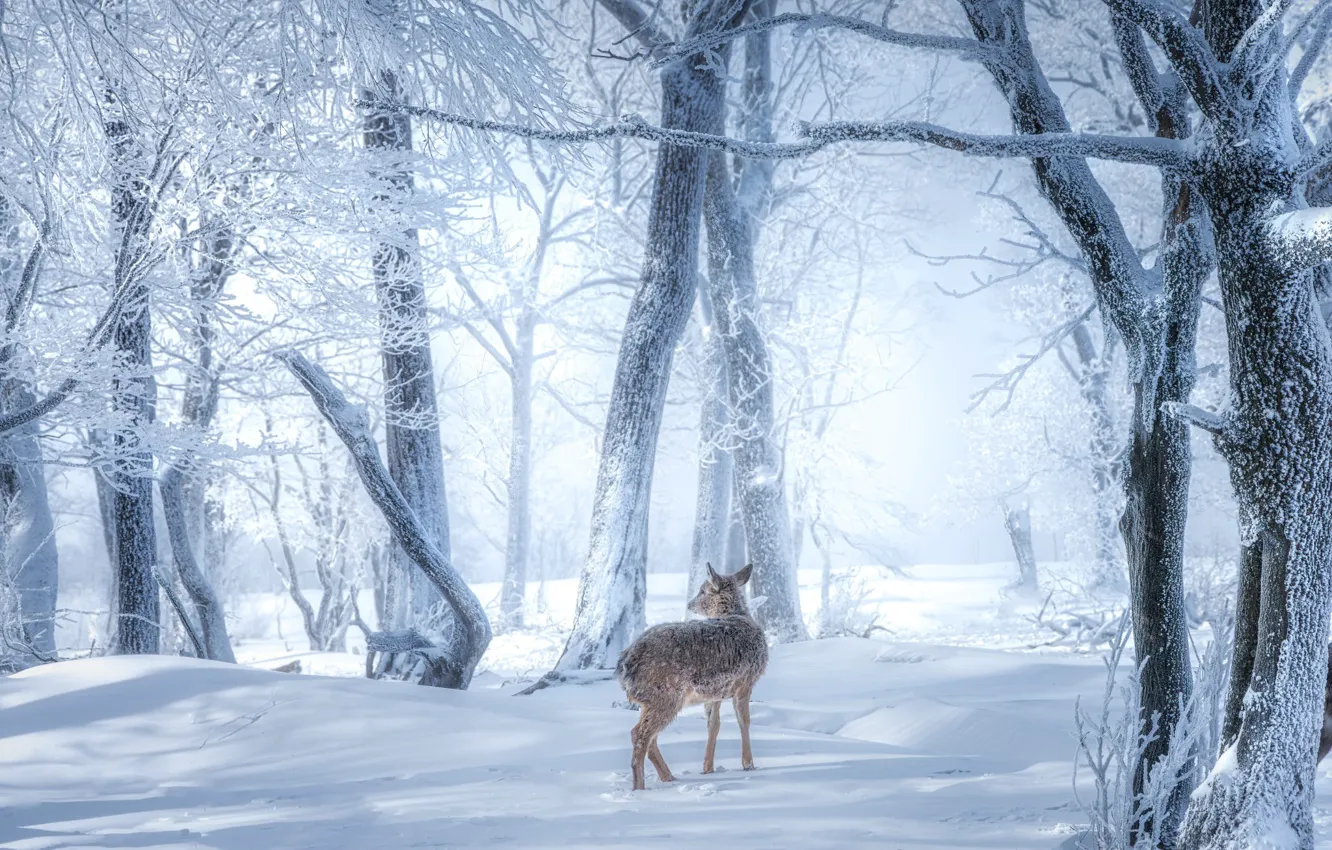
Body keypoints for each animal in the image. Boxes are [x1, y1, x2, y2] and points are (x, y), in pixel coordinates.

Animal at [615, 563, 769, 791]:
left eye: (702, 590)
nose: (690, 603)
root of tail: (624, 666)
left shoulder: (715, 693)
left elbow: (713, 726)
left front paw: (708, 768)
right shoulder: (745, 681)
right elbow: (744, 722)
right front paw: (749, 765)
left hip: (651, 699)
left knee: (647, 736)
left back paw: (668, 777)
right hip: (665, 695)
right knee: (640, 735)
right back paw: (640, 787)